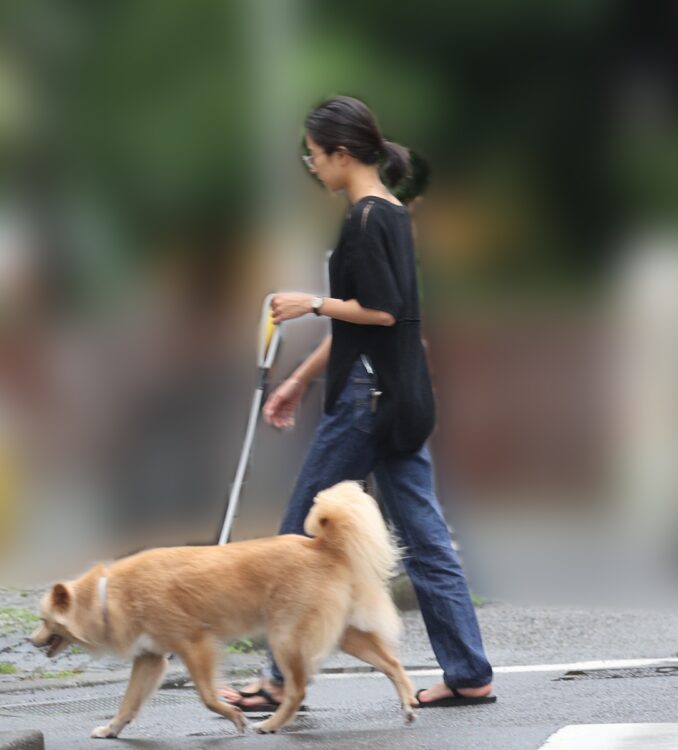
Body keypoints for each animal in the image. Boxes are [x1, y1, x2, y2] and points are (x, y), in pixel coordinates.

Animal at [31, 484, 420, 736]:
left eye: (44, 620)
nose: (30, 640)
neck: (107, 594)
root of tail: (322, 546)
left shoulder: (194, 644)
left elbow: (206, 696)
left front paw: (234, 717)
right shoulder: (150, 659)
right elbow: (128, 703)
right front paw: (112, 729)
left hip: (285, 638)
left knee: (297, 691)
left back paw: (270, 724)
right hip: (341, 634)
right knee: (391, 663)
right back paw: (407, 705)